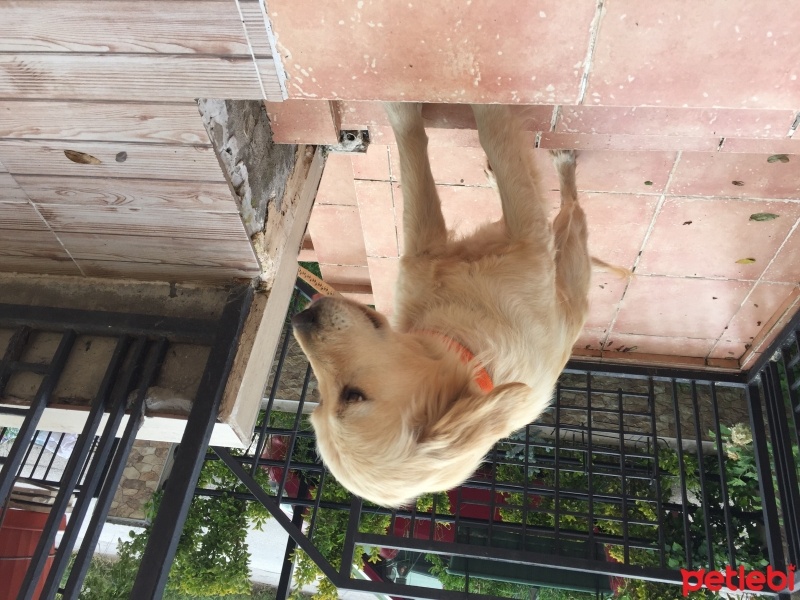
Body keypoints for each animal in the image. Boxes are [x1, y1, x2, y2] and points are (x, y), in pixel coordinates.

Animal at [294, 104, 592, 506]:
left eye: (348, 396)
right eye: (330, 399)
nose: (301, 317)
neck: (469, 349)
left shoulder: (429, 251)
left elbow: (434, 146)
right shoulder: (518, 238)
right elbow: (478, 139)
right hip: (568, 264)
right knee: (568, 211)